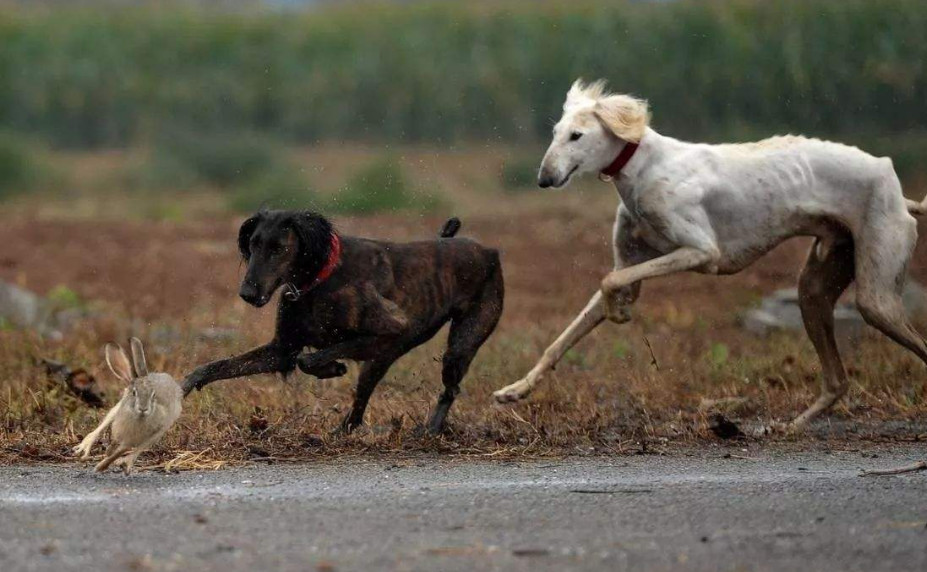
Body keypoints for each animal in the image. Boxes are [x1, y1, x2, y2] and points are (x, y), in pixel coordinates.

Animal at [72, 340, 183, 474]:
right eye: (134, 393)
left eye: (153, 395)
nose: (143, 408)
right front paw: (104, 457)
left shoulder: (138, 438)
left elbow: (122, 450)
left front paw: (103, 466)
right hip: (117, 410)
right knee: (104, 425)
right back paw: (84, 449)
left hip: (158, 432)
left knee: (136, 450)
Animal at [180, 210, 500, 434]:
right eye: (253, 243)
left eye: (279, 248)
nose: (247, 293)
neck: (319, 279)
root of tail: (487, 250)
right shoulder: (282, 348)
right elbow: (216, 366)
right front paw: (184, 387)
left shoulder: (393, 332)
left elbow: (312, 358)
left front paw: (332, 368)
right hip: (382, 362)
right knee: (358, 409)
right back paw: (341, 432)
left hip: (458, 345)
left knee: (451, 388)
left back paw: (430, 429)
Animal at [496, 79, 924, 428]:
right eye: (555, 132)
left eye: (577, 135)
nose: (544, 178)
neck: (644, 164)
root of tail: (897, 187)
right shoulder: (634, 261)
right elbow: (567, 333)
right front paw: (517, 388)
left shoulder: (702, 252)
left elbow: (610, 279)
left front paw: (619, 312)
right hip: (815, 290)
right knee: (837, 379)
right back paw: (794, 425)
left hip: (876, 296)